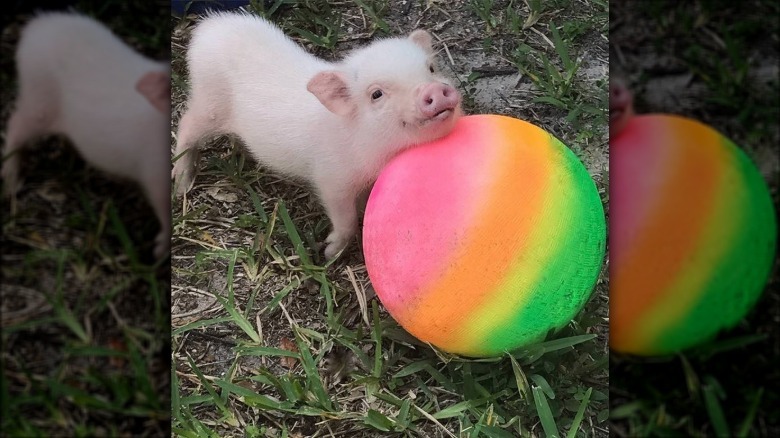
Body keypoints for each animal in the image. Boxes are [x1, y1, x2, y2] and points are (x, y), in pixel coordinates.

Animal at [1, 12, 171, 259]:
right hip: (38, 100)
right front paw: (158, 253)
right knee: (14, 125)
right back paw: (11, 183)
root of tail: (37, 25)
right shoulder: (155, 173)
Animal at [172, 12, 462, 259]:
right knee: (185, 125)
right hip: (209, 103)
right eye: (376, 94)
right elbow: (344, 217)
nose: (434, 89)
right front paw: (329, 253)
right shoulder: (331, 178)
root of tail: (208, 27)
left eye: (431, 69)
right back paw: (182, 185)